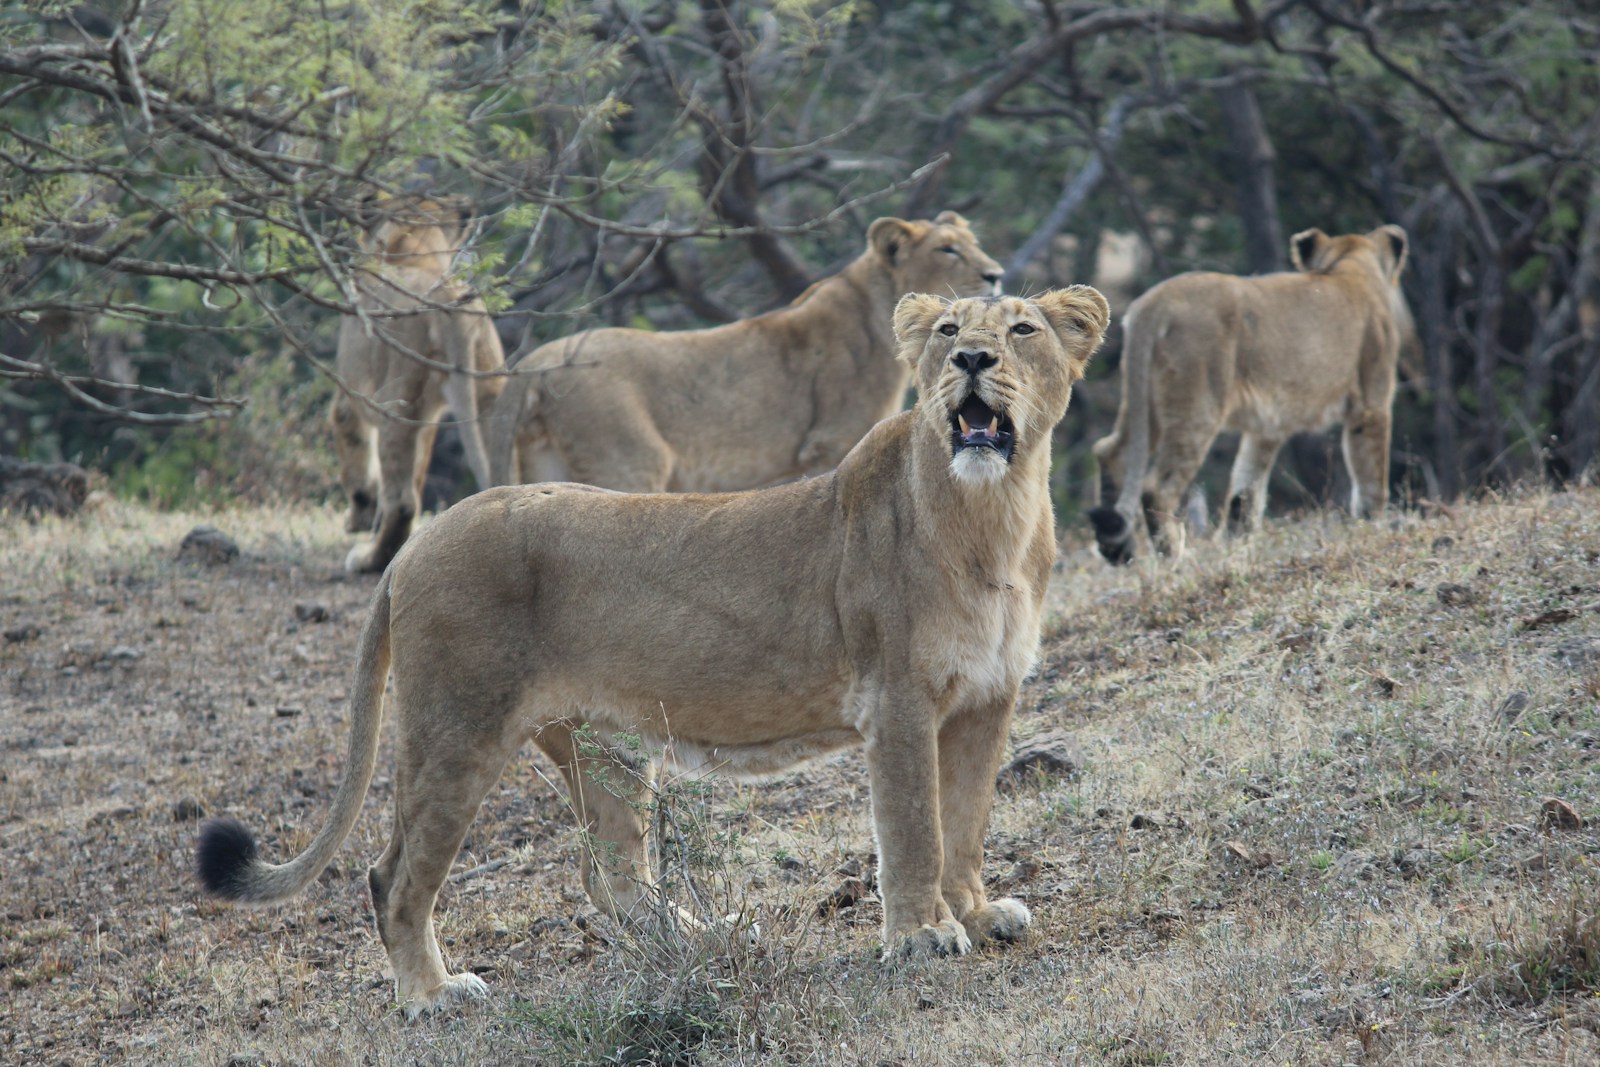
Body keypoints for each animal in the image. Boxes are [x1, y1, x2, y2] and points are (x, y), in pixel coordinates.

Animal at [195, 285, 1110, 1017]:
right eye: (949, 328)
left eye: (1023, 328)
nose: (971, 358)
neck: (992, 516)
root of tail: (416, 545)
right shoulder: (899, 702)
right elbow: (916, 826)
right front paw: (923, 935)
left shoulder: (987, 698)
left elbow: (967, 819)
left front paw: (979, 912)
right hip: (455, 729)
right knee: (394, 875)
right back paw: (432, 995)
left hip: (602, 743)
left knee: (611, 874)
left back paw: (704, 937)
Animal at [330, 197, 507, 574]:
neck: (416, 251)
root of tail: (448, 295)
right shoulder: (428, 417)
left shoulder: (350, 394)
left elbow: (357, 459)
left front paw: (358, 518)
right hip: (490, 395)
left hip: (395, 401)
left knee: (402, 502)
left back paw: (369, 559)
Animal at [485, 212, 1004, 492]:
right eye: (947, 250)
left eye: (974, 244)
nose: (997, 274)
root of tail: (533, 365)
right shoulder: (830, 443)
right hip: (630, 461)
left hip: (541, 461)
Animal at [1088, 224, 1410, 564]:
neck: (1349, 262)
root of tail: (1153, 304)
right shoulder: (1372, 405)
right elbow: (1373, 479)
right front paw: (1375, 529)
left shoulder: (1266, 427)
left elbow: (1245, 492)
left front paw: (1234, 548)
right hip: (1198, 406)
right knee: (1156, 487)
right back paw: (1174, 557)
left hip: (1144, 402)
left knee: (1111, 451)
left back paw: (1116, 548)